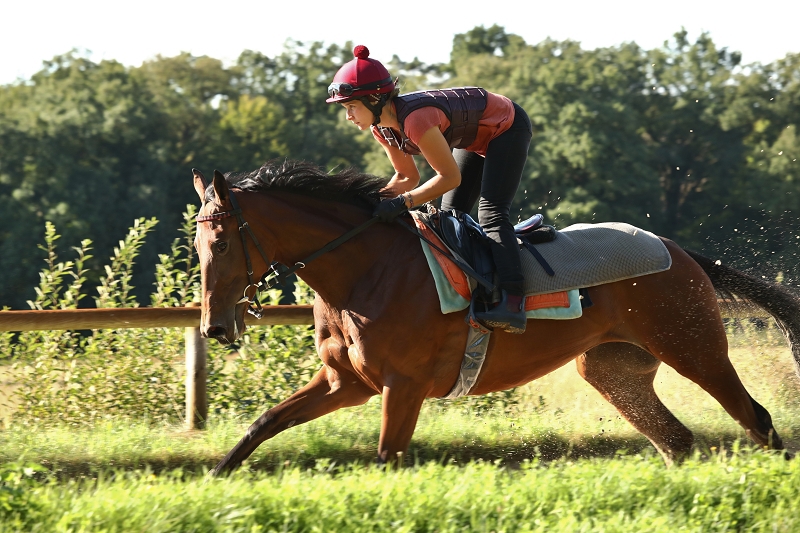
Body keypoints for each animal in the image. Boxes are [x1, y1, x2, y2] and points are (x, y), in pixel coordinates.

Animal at [192, 160, 800, 475]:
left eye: (220, 242)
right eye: (197, 243)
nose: (215, 326)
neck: (365, 270)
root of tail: (678, 250)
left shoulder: (402, 385)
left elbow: (388, 455)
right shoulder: (348, 381)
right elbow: (264, 422)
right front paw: (219, 478)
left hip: (694, 347)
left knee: (756, 419)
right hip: (612, 369)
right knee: (676, 440)